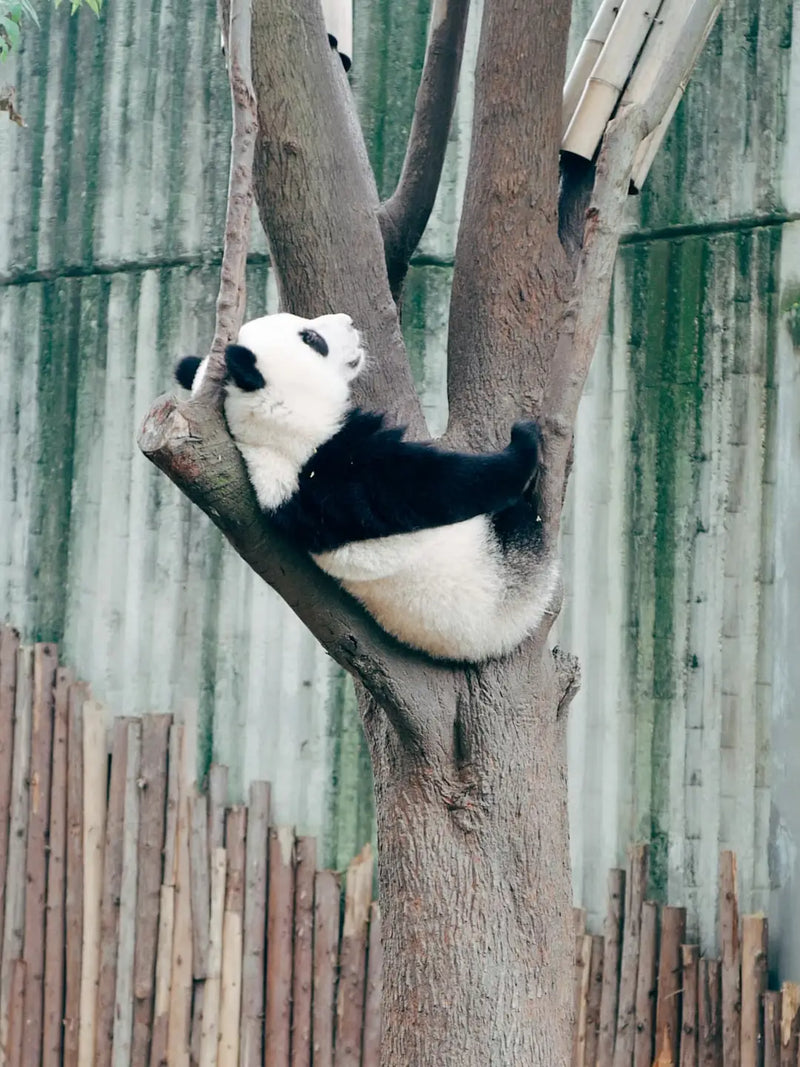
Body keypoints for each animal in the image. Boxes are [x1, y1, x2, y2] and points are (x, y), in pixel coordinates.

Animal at [175, 312, 559, 662]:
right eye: (312, 339)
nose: (348, 320)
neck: (270, 427)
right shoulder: (334, 468)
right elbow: (436, 486)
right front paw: (522, 443)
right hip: (505, 571)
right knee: (519, 526)